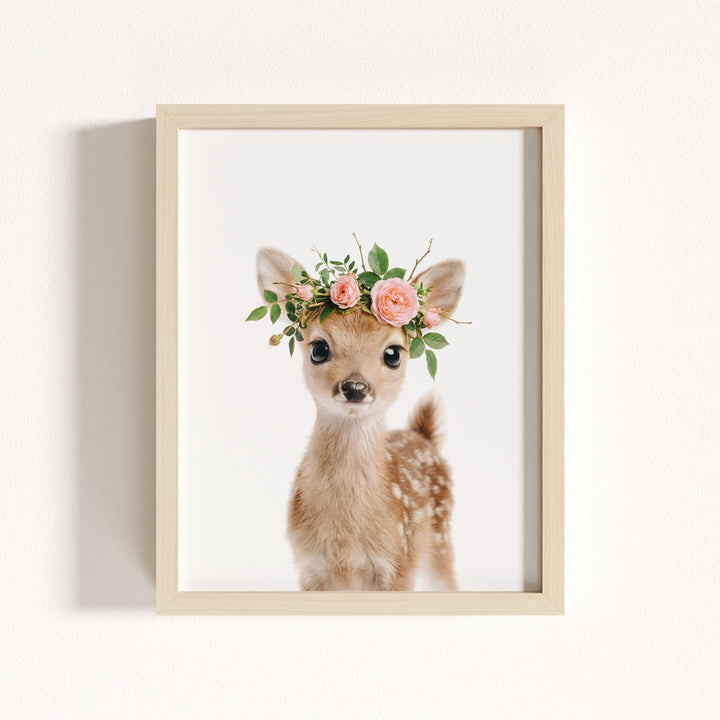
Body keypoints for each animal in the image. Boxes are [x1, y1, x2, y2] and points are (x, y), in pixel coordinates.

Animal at [256, 247, 464, 591]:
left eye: (393, 354)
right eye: (319, 348)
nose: (355, 387)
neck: (344, 540)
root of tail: (422, 436)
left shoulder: (398, 565)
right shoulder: (309, 567)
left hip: (440, 539)